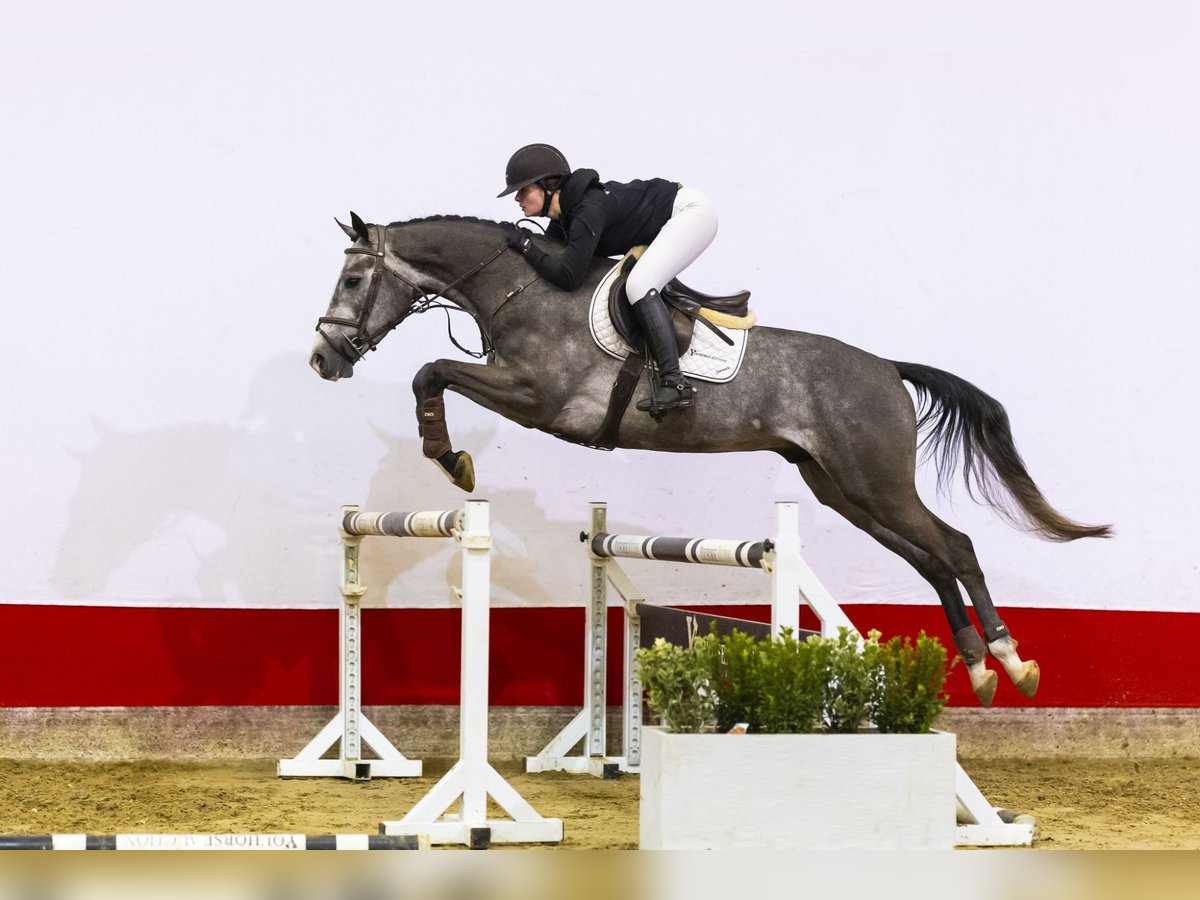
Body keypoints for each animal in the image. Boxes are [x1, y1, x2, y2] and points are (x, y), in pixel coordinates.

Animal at [312, 213, 1113, 710]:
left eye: (352, 281)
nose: (324, 358)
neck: (524, 290)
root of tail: (887, 368)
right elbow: (435, 373)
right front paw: (447, 454)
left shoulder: (539, 397)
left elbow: (433, 371)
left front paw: (449, 458)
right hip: (844, 490)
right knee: (933, 560)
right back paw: (980, 669)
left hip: (876, 482)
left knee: (957, 546)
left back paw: (1011, 663)